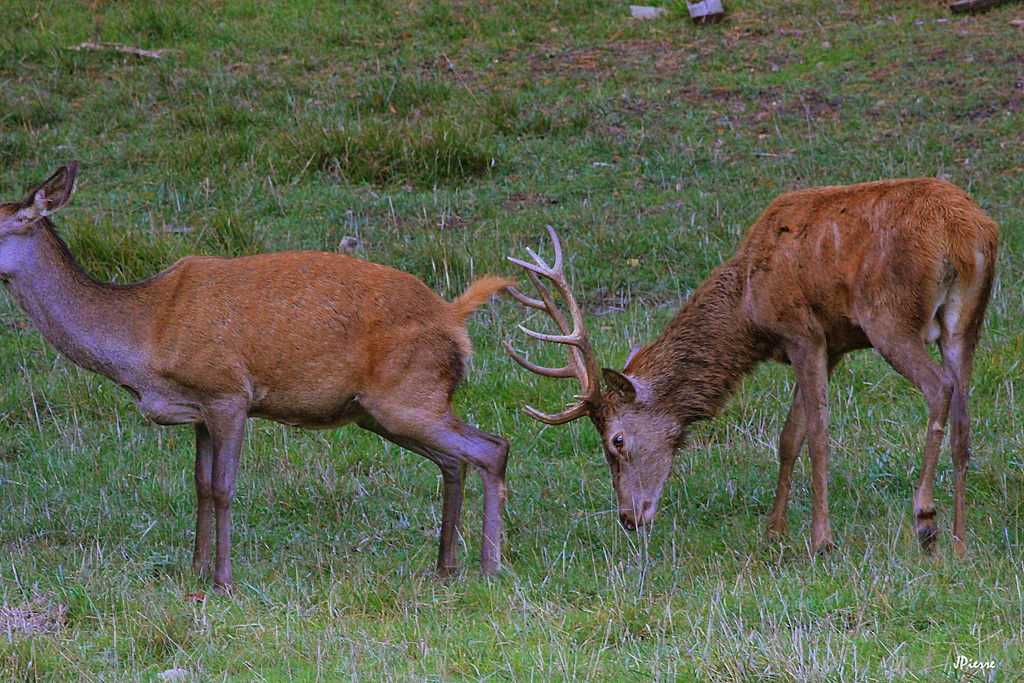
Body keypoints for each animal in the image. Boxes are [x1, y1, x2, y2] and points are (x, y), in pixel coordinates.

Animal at [0, 162, 512, 589]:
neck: (146, 338)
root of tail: (454, 318)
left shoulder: (227, 392)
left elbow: (224, 487)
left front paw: (222, 579)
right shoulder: (198, 409)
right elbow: (200, 485)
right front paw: (196, 568)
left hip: (407, 395)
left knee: (492, 447)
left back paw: (489, 566)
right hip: (384, 411)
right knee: (455, 460)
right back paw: (446, 566)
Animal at [507, 179, 995, 557]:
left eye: (617, 440)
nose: (629, 517)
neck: (747, 308)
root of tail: (966, 235)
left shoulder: (803, 332)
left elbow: (817, 433)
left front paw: (820, 539)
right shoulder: (833, 344)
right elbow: (789, 437)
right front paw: (773, 530)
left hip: (889, 316)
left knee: (939, 389)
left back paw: (925, 520)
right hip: (966, 322)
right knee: (964, 415)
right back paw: (959, 540)